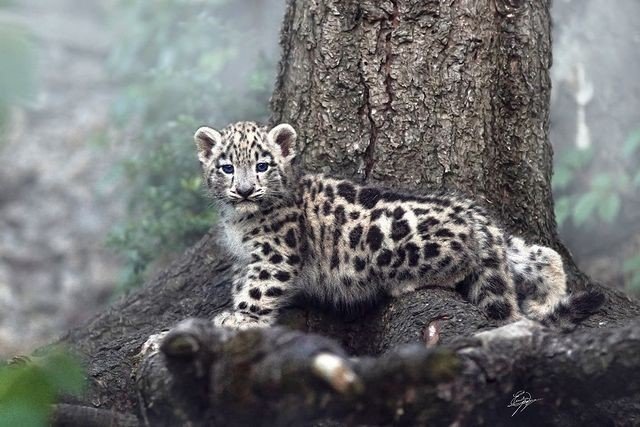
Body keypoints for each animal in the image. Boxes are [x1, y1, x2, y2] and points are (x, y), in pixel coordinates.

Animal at [193, 121, 605, 329]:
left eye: (262, 165)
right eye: (227, 167)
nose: (245, 190)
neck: (240, 220)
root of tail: (472, 215)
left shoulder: (275, 253)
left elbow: (260, 287)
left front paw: (241, 318)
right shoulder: (245, 257)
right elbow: (240, 280)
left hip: (392, 243)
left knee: (459, 265)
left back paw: (402, 283)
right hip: (506, 243)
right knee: (540, 253)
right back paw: (547, 298)